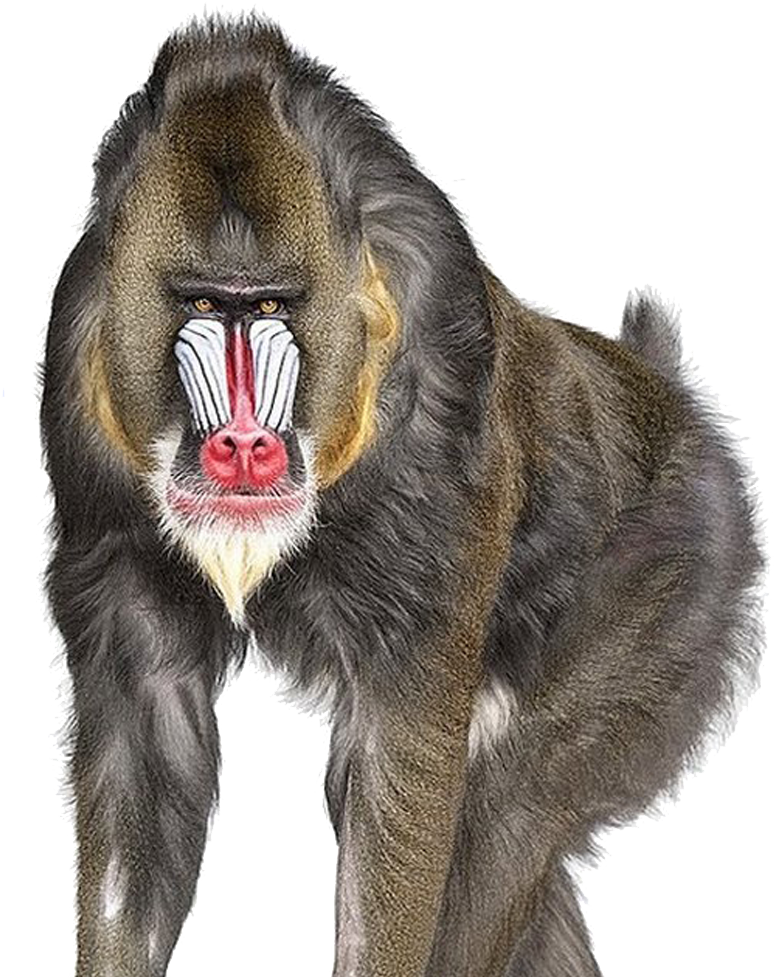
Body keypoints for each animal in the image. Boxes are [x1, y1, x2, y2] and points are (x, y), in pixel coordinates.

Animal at [38, 12, 767, 977]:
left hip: (668, 596)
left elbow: (402, 769)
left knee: (506, 808)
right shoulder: (88, 427)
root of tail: (669, 389)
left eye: (269, 308)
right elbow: (145, 747)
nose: (243, 447)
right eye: (200, 304)